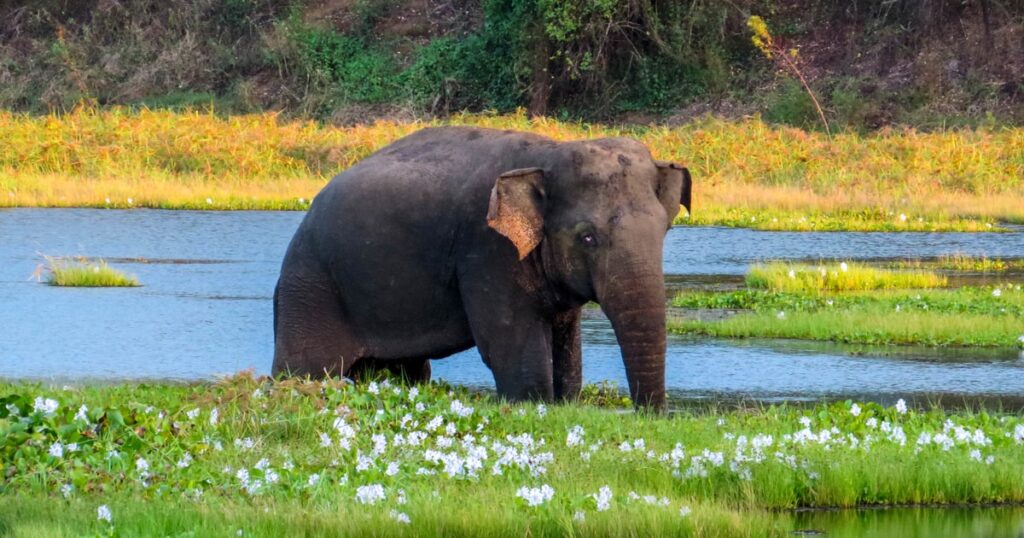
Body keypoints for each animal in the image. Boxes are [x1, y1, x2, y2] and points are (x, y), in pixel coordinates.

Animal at [272, 126, 692, 407]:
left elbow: (566, 345)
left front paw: (564, 402)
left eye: (664, 230)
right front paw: (535, 404)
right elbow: (507, 344)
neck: (548, 154)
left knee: (406, 371)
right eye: (587, 237)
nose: (649, 416)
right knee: (305, 368)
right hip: (311, 288)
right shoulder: (487, 250)